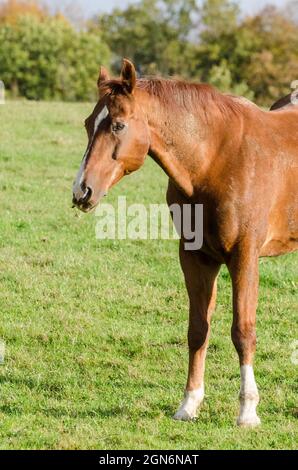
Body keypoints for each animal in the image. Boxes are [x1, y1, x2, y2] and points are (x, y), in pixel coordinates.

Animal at [73, 57, 298, 426]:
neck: (215, 160)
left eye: (118, 125)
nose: (82, 190)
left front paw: (248, 411)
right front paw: (189, 404)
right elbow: (198, 330)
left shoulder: (244, 257)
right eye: (89, 123)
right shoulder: (195, 257)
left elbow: (243, 332)